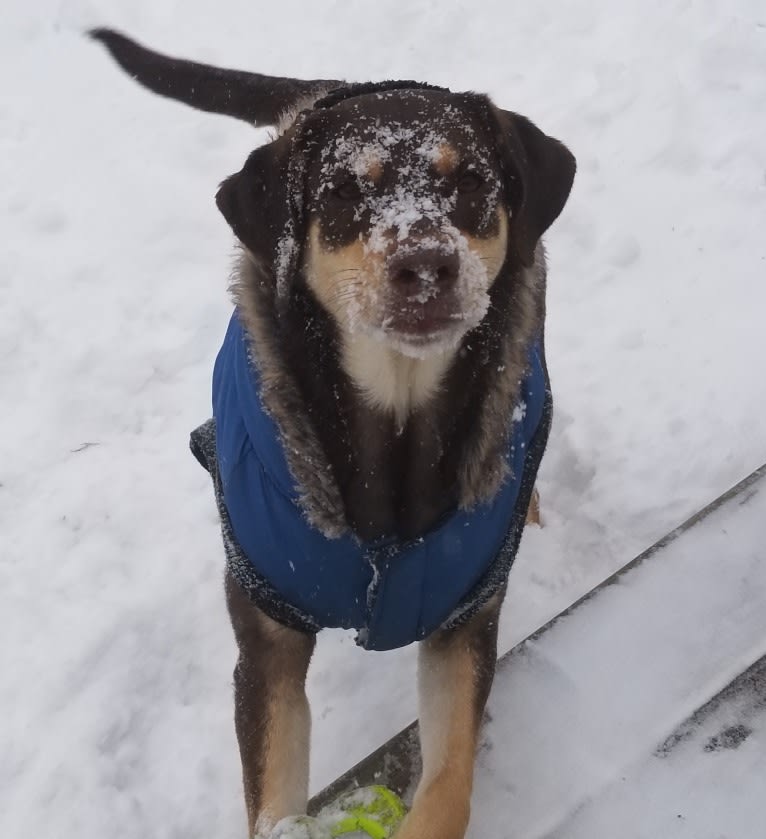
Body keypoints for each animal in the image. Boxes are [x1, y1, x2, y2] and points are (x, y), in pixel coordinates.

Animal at [93, 31, 576, 839]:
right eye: (345, 192)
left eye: (472, 181)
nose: (426, 265)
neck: (395, 425)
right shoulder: (267, 636)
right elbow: (272, 790)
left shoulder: (465, 621)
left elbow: (449, 785)